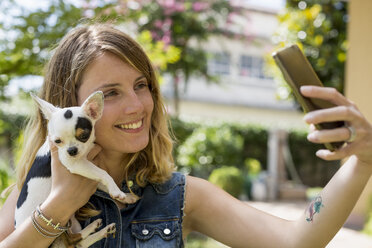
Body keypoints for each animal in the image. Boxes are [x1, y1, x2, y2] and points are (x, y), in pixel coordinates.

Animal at [15, 91, 138, 248]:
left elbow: (102, 183)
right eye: (57, 141)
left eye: (84, 136)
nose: (71, 150)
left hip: (72, 223)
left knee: (79, 241)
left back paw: (99, 229)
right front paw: (118, 192)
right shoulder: (76, 164)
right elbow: (104, 173)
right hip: (60, 228)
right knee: (73, 240)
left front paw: (126, 196)